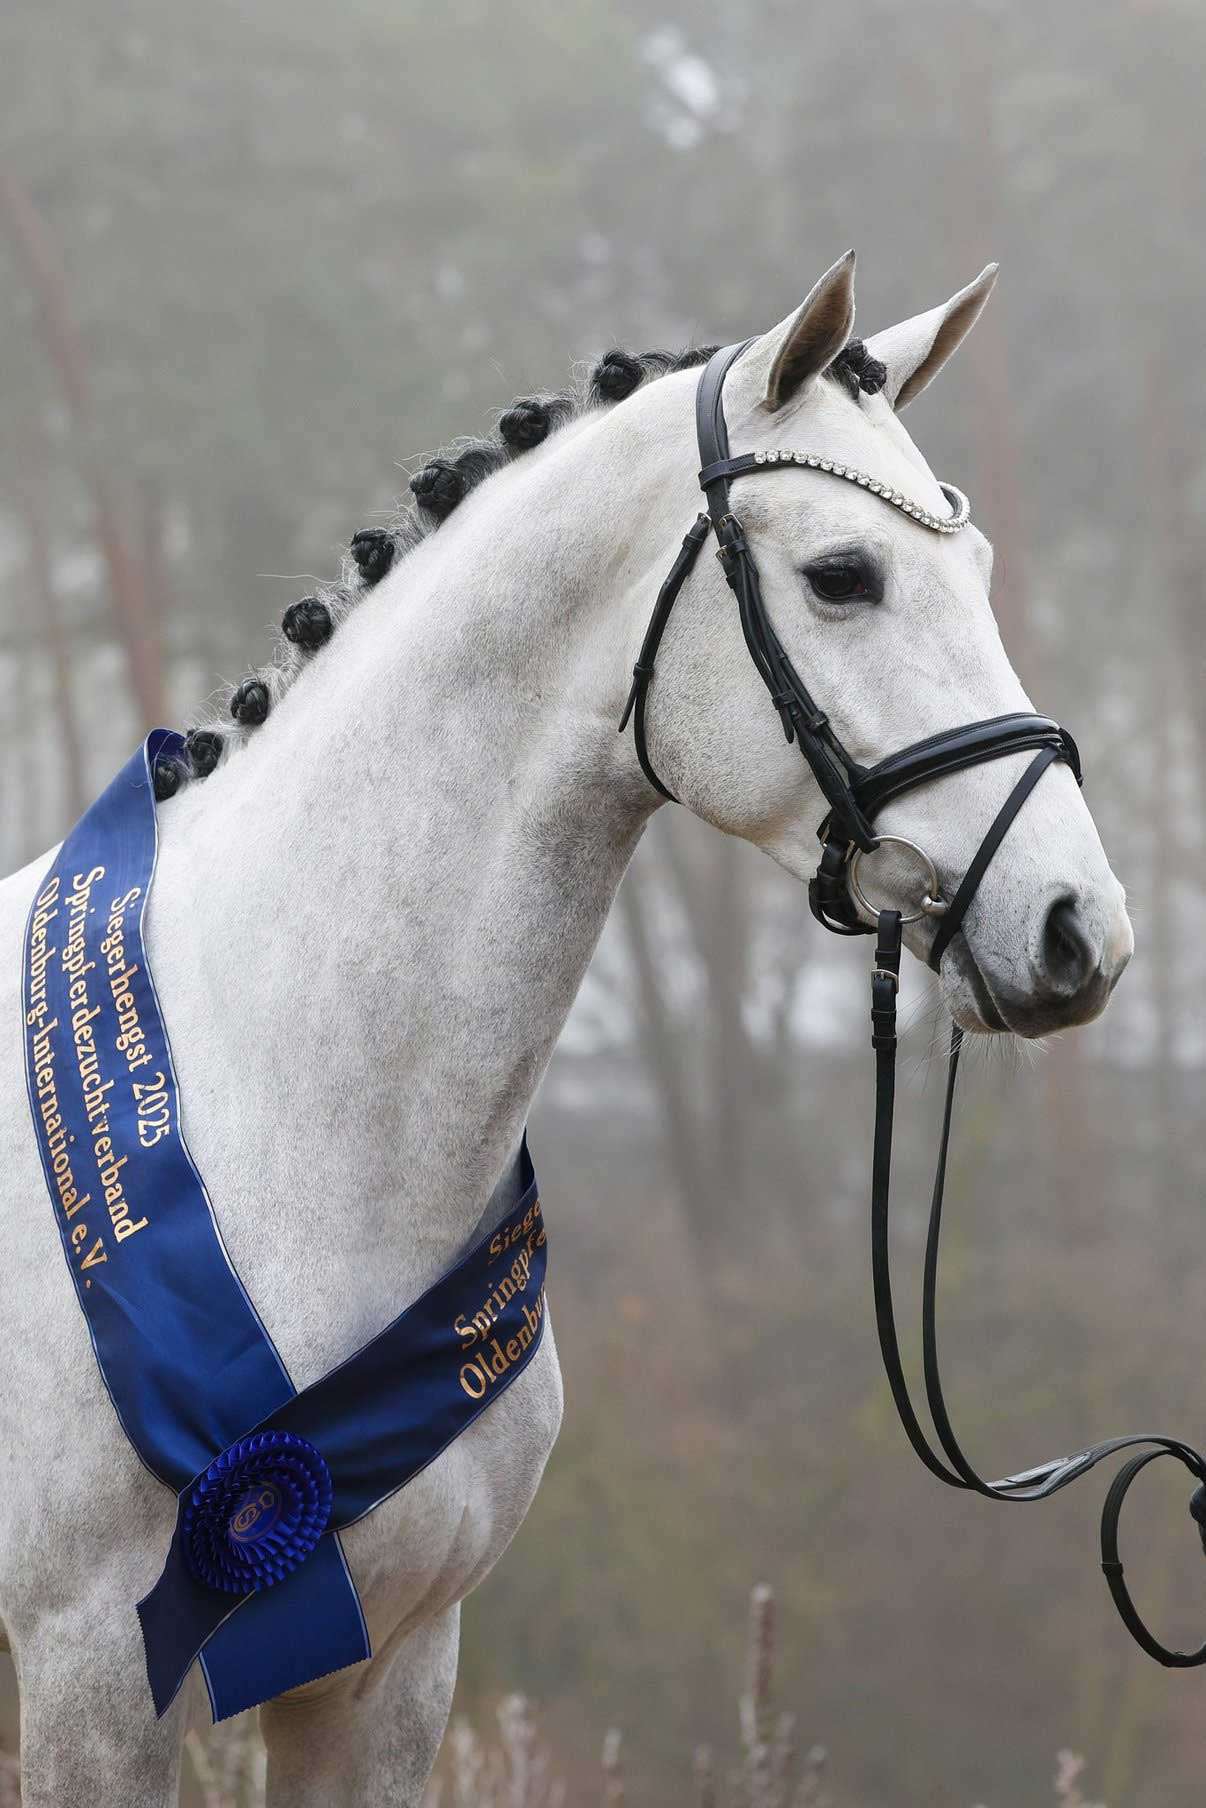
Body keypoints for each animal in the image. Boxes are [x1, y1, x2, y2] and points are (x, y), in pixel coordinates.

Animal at [0, 250, 1132, 1806]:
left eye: (979, 571)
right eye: (843, 576)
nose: (1079, 929)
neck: (264, 1106)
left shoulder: (392, 1672)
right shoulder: (93, 1687)